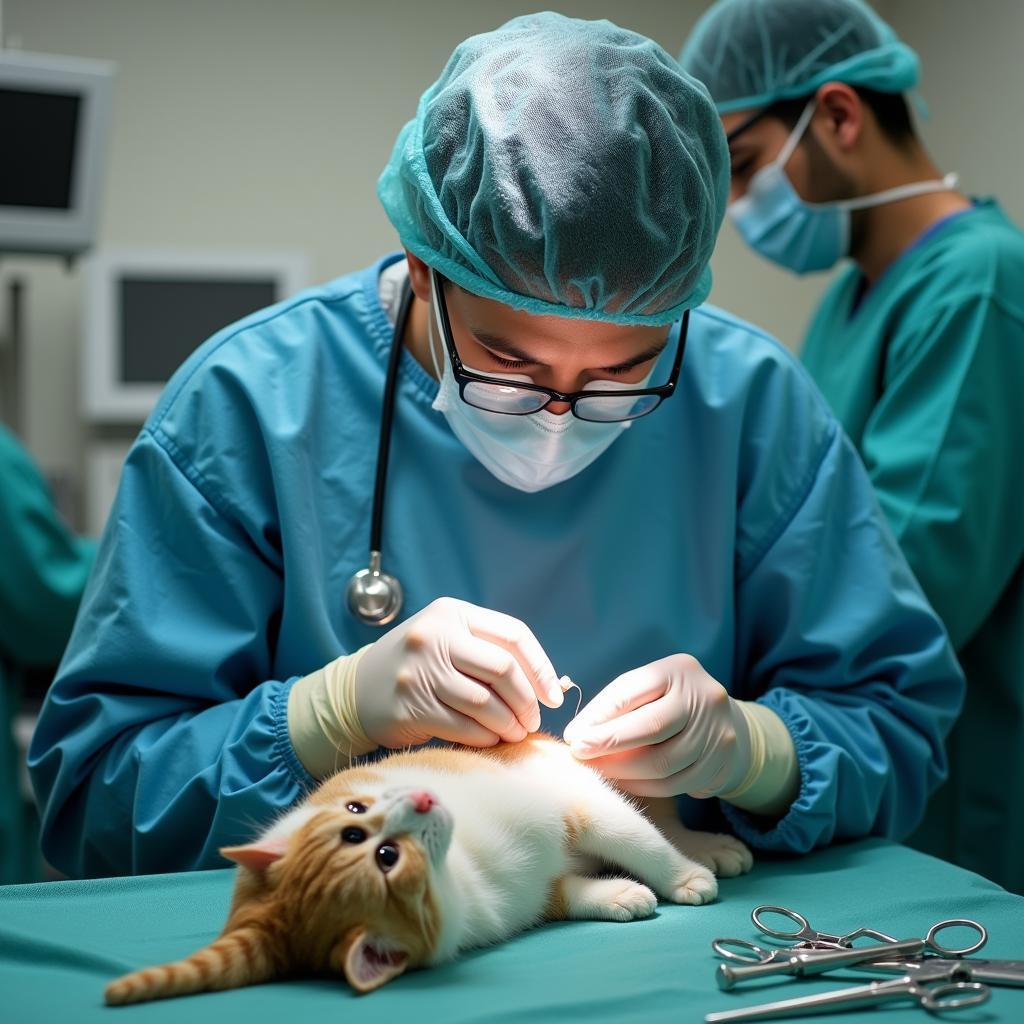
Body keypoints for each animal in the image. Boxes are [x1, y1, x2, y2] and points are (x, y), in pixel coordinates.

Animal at [103, 733, 753, 1003]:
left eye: (356, 812)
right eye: (384, 859)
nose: (419, 801)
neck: (463, 868)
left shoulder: (573, 802)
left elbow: (635, 837)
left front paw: (682, 876)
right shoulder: (525, 898)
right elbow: (575, 890)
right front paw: (623, 896)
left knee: (653, 814)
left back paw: (707, 849)